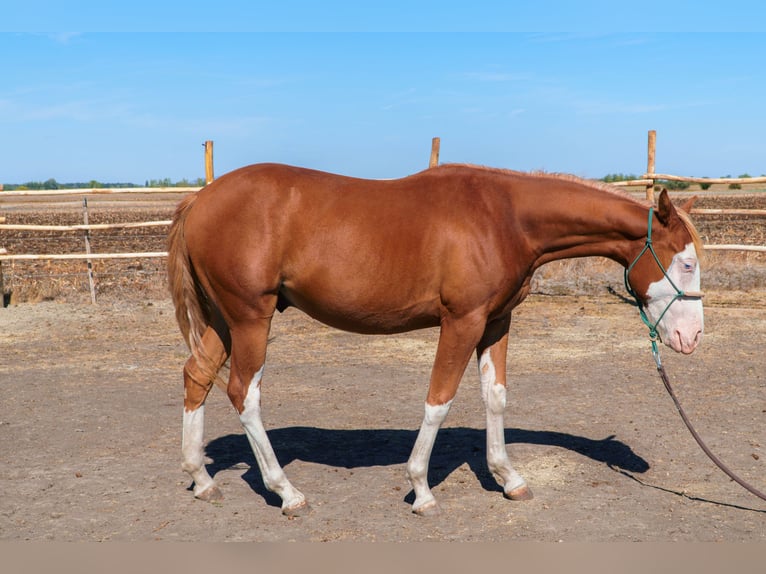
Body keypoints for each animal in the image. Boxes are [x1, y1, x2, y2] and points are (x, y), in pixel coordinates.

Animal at [167, 162, 703, 517]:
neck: (504, 217)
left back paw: (201, 479)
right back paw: (286, 492)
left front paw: (509, 479)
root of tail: (202, 198)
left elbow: (495, 397)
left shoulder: (496, 322)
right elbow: (439, 400)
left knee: (197, 376)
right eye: (686, 262)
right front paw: (422, 489)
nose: (691, 336)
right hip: (250, 319)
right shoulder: (461, 322)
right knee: (244, 393)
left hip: (225, 321)